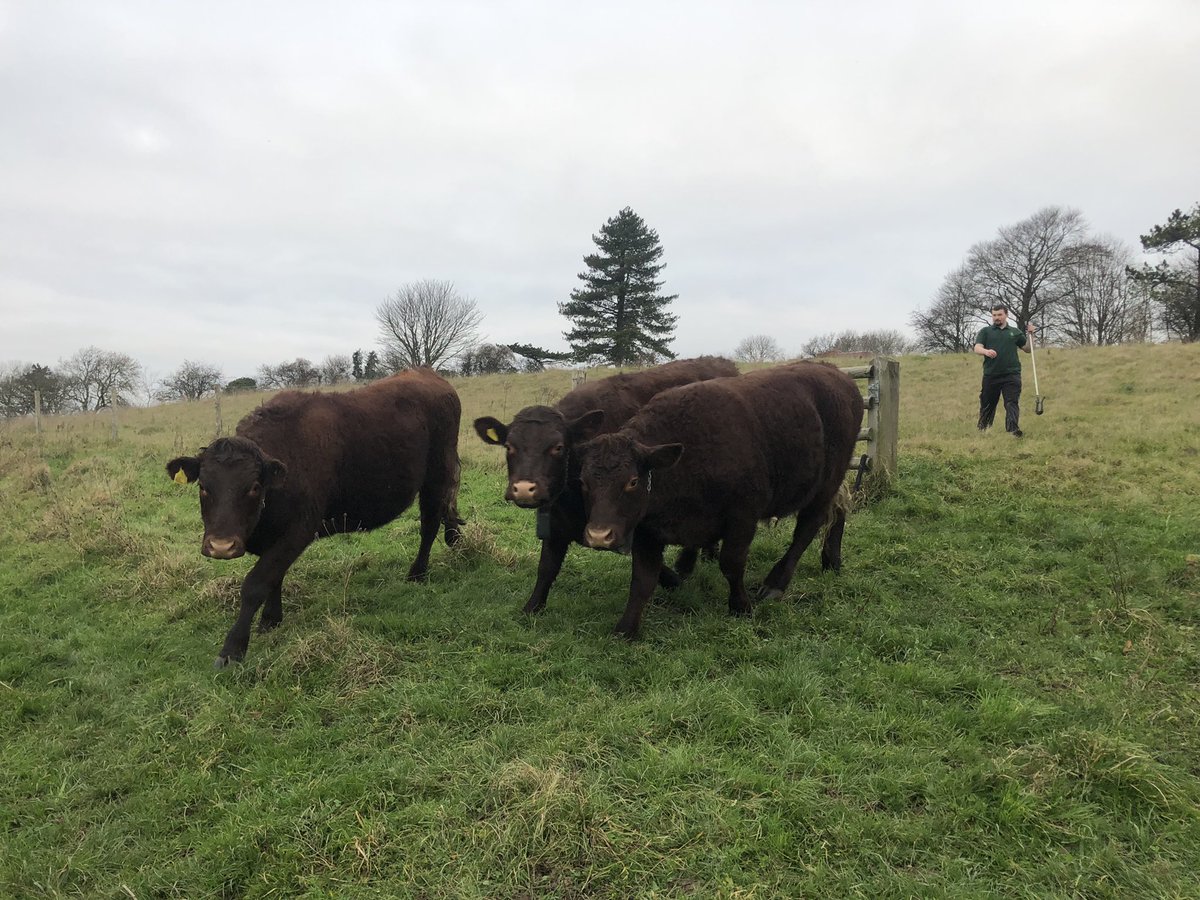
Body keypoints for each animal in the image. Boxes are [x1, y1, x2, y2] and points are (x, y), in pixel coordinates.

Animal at [166, 368, 463, 667]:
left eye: (254, 487)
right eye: (203, 486)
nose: (221, 546)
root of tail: (425, 373)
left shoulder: (299, 530)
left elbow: (256, 583)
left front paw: (232, 649)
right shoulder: (277, 537)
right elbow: (274, 577)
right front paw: (271, 620)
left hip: (436, 476)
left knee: (429, 525)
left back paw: (417, 573)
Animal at [472, 356, 739, 613]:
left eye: (558, 447)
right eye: (509, 447)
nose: (524, 489)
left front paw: (676, 581)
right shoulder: (557, 521)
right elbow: (546, 567)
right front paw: (531, 608)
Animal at [575, 361, 864, 638]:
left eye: (633, 481)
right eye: (583, 481)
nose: (599, 535)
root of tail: (836, 374)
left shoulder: (742, 518)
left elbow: (732, 564)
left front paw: (740, 606)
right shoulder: (646, 531)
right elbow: (643, 581)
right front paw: (626, 628)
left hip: (825, 484)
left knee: (807, 529)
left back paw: (776, 583)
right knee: (837, 512)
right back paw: (831, 561)